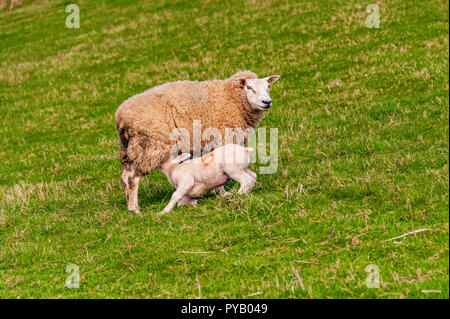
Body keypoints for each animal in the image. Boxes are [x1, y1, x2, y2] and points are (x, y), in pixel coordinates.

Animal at [114, 70, 280, 215]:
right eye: (249, 87)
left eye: (268, 87)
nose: (267, 102)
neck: (231, 98)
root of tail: (120, 117)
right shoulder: (221, 138)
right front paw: (222, 193)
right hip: (149, 147)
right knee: (132, 178)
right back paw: (135, 209)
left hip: (130, 150)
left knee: (125, 177)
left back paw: (131, 207)